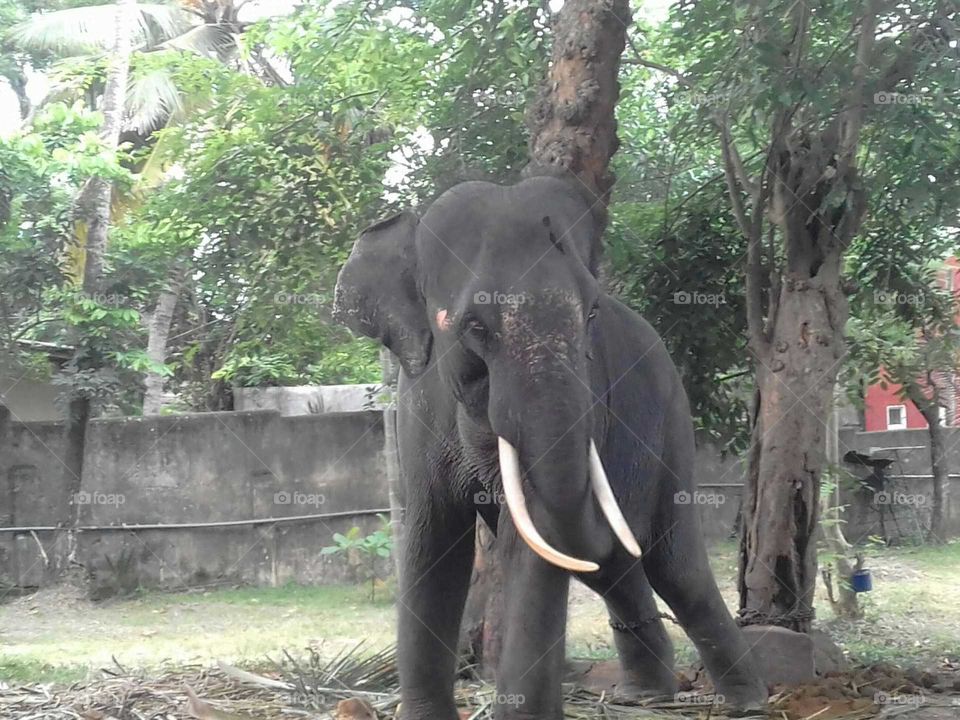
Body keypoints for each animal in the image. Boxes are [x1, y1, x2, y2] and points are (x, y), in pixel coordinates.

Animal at [334, 172, 768, 716]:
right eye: (474, 326)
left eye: (593, 313)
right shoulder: (418, 408)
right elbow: (433, 540)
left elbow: (532, 543)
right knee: (612, 567)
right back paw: (644, 695)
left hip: (673, 424)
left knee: (674, 568)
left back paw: (747, 703)